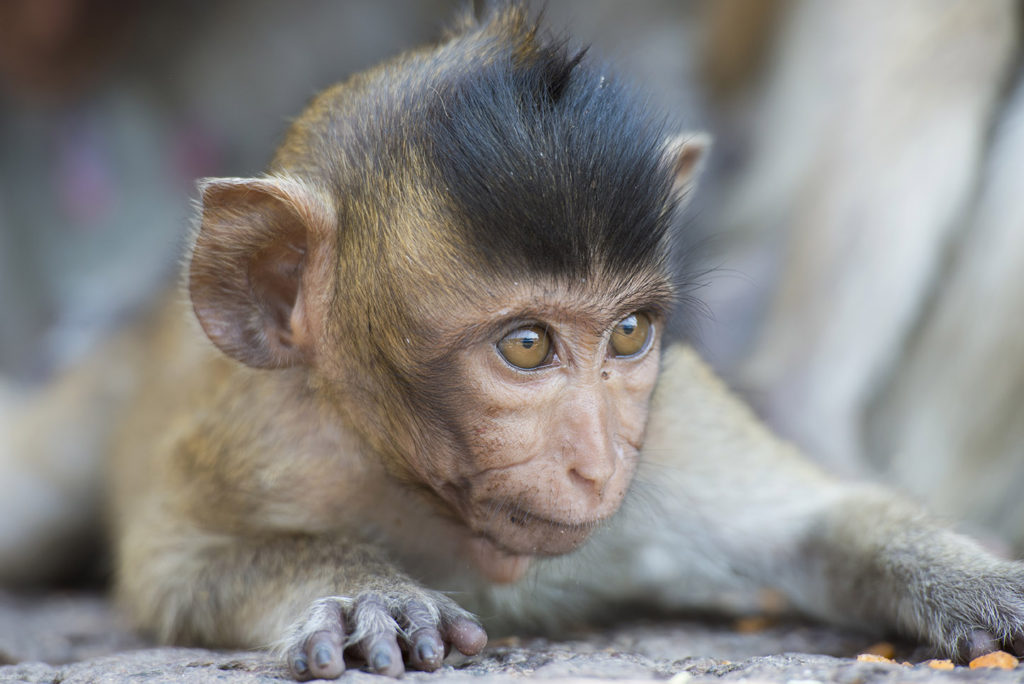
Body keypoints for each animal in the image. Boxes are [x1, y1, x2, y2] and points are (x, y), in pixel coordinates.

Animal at [68, 3, 1024, 679]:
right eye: (526, 346)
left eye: (629, 333)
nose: (599, 464)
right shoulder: (266, 440)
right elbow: (173, 566)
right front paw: (357, 591)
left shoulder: (672, 425)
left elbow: (820, 524)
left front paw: (982, 581)